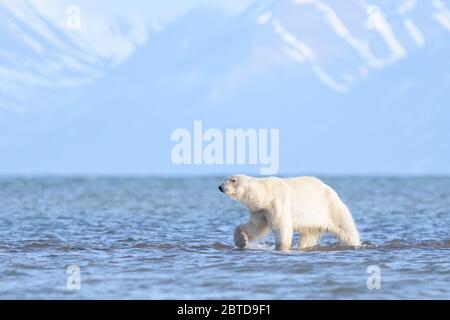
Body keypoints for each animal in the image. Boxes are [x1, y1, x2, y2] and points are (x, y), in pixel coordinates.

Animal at [219, 175, 362, 250]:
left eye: (232, 180)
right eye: (226, 179)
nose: (220, 187)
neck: (266, 193)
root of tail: (331, 190)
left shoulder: (278, 204)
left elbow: (282, 227)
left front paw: (281, 248)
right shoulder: (260, 210)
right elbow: (255, 227)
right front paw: (242, 240)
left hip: (331, 208)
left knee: (346, 228)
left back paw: (354, 243)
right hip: (312, 222)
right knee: (308, 236)